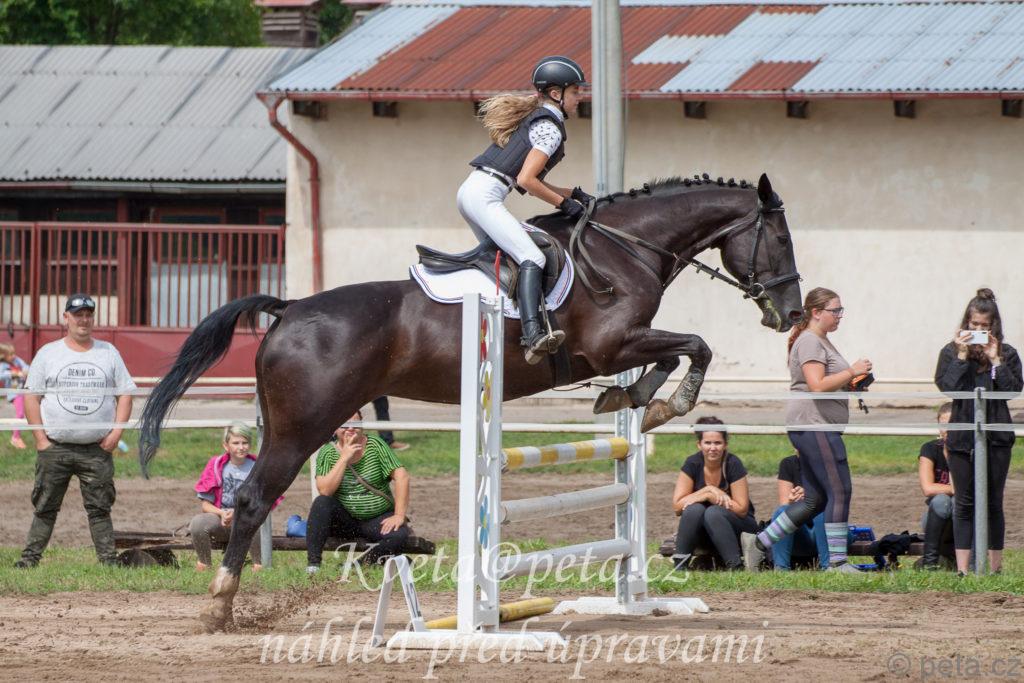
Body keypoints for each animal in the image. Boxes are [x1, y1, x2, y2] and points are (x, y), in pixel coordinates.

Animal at [139, 172, 803, 631]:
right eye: (779, 238)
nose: (792, 313)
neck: (625, 247)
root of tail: (290, 308)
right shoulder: (611, 344)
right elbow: (695, 346)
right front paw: (662, 402)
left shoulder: (620, 347)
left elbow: (674, 355)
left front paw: (633, 398)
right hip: (305, 426)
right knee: (252, 499)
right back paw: (219, 607)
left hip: (287, 424)